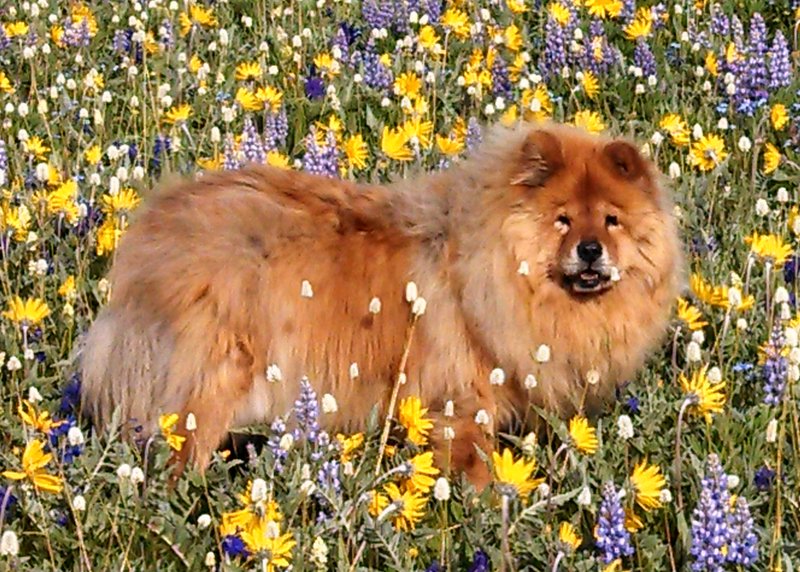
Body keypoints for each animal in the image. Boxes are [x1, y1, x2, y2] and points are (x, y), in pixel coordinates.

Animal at [79, 120, 680, 488]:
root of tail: (157, 229)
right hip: (208, 384)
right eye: (563, 220)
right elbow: (477, 468)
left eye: (611, 220)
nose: (590, 249)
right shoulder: (458, 404)